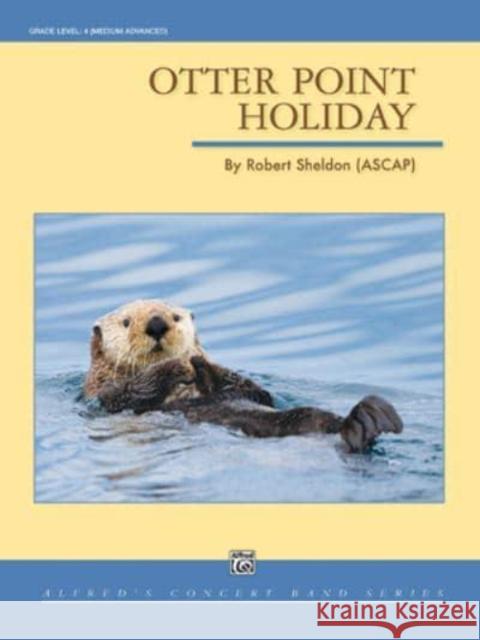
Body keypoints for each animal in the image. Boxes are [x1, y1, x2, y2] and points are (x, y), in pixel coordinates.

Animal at [84, 299, 403, 452]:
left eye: (175, 317)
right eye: (126, 322)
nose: (156, 324)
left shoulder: (253, 391)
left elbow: (256, 391)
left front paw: (200, 363)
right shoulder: (105, 394)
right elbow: (131, 392)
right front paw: (177, 365)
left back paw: (371, 419)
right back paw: (366, 425)